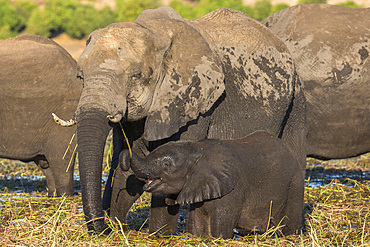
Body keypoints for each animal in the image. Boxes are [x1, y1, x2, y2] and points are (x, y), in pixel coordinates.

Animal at [118, 130, 304, 238]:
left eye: (166, 165)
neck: (197, 149)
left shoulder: (232, 191)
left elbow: (220, 229)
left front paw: (219, 239)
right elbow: (197, 225)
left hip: (295, 184)